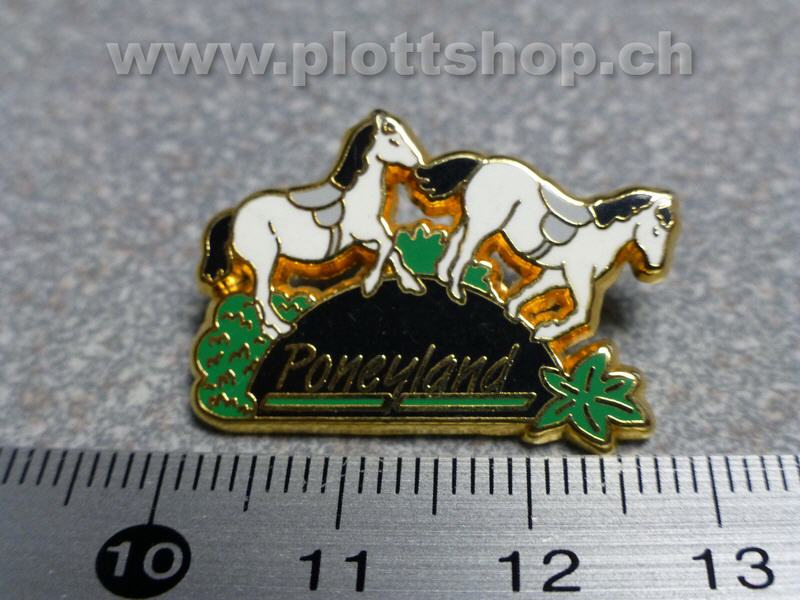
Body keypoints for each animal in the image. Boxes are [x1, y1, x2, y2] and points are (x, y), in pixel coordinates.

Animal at [201, 110, 426, 338]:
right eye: (393, 141)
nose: (417, 164)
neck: (358, 196)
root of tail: (234, 217)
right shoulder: (367, 233)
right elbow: (389, 243)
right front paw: (370, 285)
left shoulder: (363, 241)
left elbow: (393, 250)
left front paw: (412, 284)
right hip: (264, 261)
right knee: (261, 296)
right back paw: (278, 329)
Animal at [416, 154, 678, 341]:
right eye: (656, 232)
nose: (655, 266)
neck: (601, 235)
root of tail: (484, 162)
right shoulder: (578, 275)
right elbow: (582, 312)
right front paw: (547, 331)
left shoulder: (557, 275)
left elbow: (528, 292)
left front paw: (515, 314)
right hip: (484, 224)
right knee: (465, 251)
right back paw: (456, 291)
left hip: (472, 221)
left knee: (455, 241)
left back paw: (443, 277)